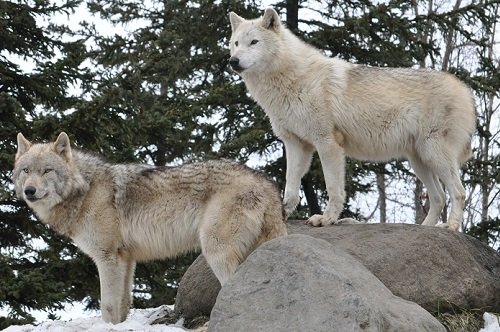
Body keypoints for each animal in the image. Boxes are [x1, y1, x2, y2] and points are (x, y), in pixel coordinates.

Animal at [11, 132, 288, 324]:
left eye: (47, 171)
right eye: (26, 171)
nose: (29, 191)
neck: (85, 190)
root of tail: (268, 184)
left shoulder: (108, 258)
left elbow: (107, 307)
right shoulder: (126, 259)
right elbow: (123, 306)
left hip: (216, 251)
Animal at [229, 7, 474, 231]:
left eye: (254, 42)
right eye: (235, 43)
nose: (233, 61)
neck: (292, 80)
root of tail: (464, 89)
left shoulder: (328, 144)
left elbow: (333, 188)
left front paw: (326, 219)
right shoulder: (296, 145)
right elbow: (290, 185)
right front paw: (283, 215)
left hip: (434, 155)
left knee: (459, 192)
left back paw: (451, 226)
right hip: (420, 161)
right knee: (439, 197)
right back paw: (425, 227)